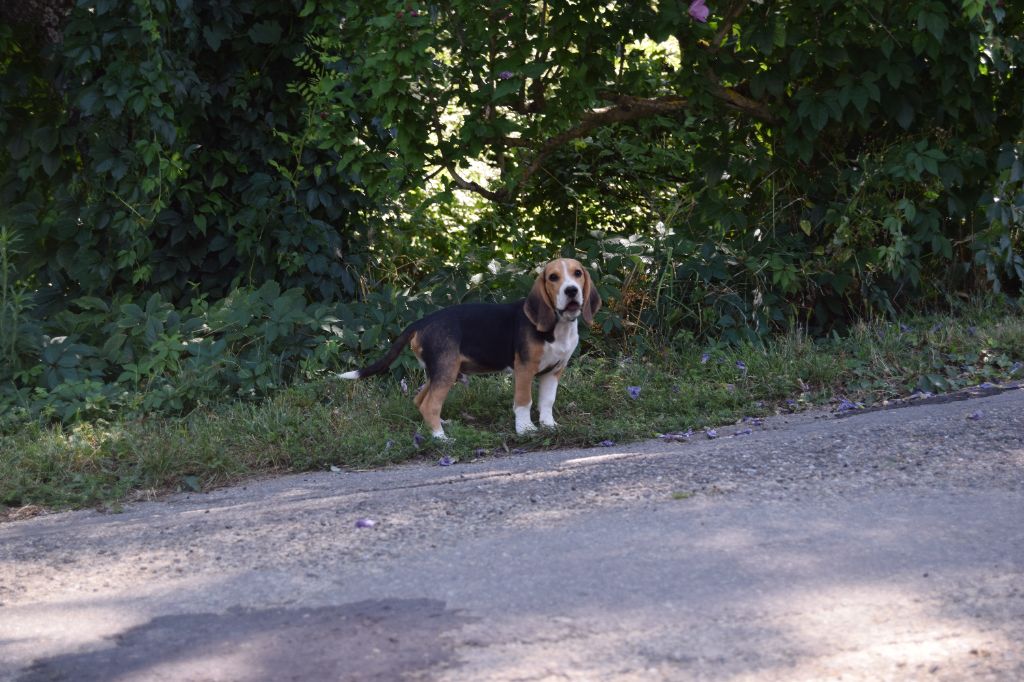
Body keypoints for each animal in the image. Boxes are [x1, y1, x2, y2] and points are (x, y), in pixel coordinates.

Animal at [339, 258, 602, 438]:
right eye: (553, 277)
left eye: (578, 273)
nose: (571, 290)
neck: (559, 326)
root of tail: (422, 322)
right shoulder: (524, 369)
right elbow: (524, 401)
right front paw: (526, 429)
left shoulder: (554, 371)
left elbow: (547, 401)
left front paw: (549, 426)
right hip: (446, 371)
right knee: (429, 404)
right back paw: (441, 439)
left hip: (440, 371)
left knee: (420, 400)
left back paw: (440, 426)